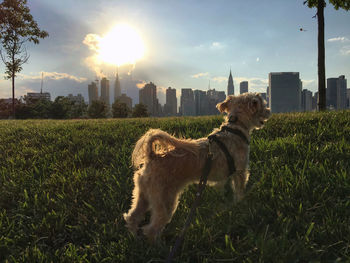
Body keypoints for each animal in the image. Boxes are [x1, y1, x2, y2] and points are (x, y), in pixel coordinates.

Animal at [123, 93, 270, 243]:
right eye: (263, 105)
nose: (269, 111)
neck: (235, 128)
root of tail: (152, 156)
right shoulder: (240, 172)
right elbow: (240, 191)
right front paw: (240, 204)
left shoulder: (222, 178)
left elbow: (222, 189)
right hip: (165, 199)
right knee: (152, 229)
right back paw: (158, 245)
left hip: (143, 194)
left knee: (132, 217)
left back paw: (135, 238)